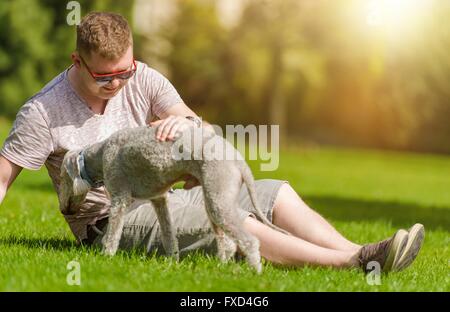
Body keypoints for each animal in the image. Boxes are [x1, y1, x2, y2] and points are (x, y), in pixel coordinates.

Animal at [59, 125, 288, 272]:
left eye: (61, 181)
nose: (63, 210)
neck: (101, 152)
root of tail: (240, 162)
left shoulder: (119, 198)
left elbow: (113, 233)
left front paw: (107, 257)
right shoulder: (159, 199)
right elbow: (168, 233)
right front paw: (172, 261)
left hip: (218, 196)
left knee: (250, 241)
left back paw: (255, 272)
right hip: (215, 199)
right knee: (229, 243)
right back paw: (221, 268)